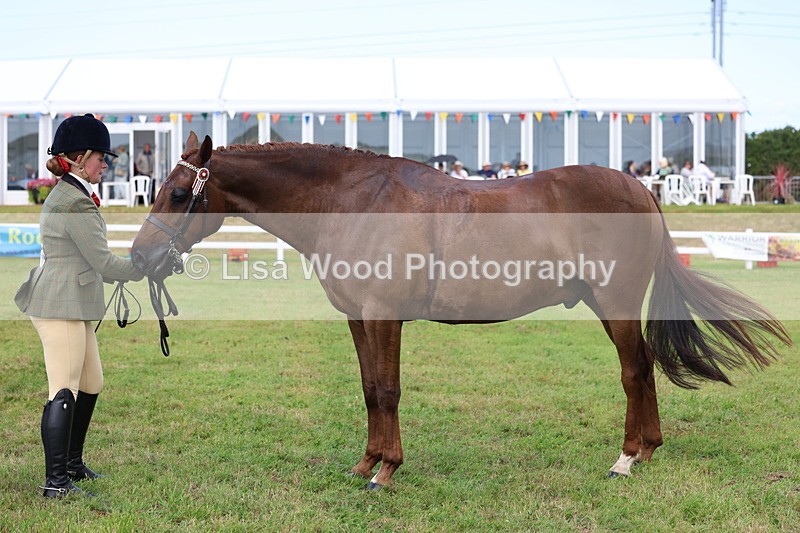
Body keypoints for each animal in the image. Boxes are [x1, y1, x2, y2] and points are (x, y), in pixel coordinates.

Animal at [131, 132, 790, 489]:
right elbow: (369, 390)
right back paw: (648, 450)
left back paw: (626, 459)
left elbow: (389, 391)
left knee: (633, 370)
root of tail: (640, 191)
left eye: (176, 192)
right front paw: (364, 464)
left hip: (618, 302)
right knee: (646, 367)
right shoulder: (357, 318)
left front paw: (387, 471)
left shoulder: (385, 315)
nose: (139, 256)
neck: (353, 201)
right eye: (154, 188)